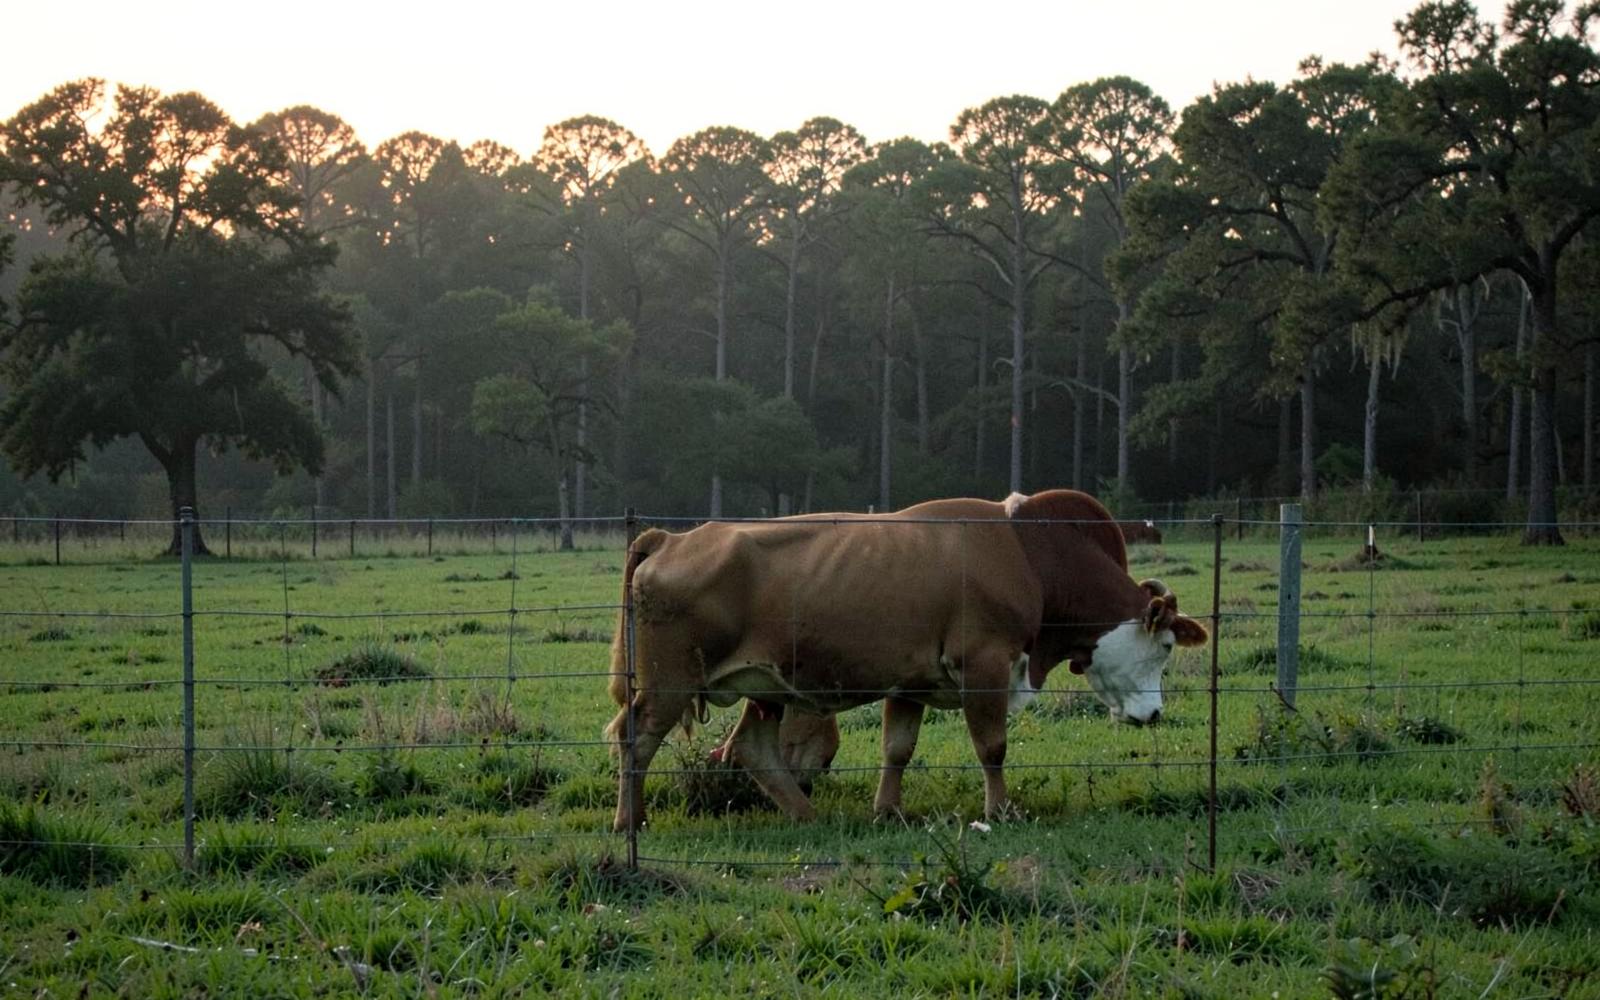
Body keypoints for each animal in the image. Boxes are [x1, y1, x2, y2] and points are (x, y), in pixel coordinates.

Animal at [604, 489, 1207, 831]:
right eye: (1165, 648)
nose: (1154, 714)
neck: (1031, 555)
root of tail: (670, 540)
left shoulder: (909, 682)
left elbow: (898, 748)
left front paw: (888, 810)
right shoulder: (985, 666)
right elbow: (992, 747)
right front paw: (999, 811)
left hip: (766, 686)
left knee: (753, 747)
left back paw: (806, 816)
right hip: (669, 684)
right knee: (635, 737)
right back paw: (630, 818)